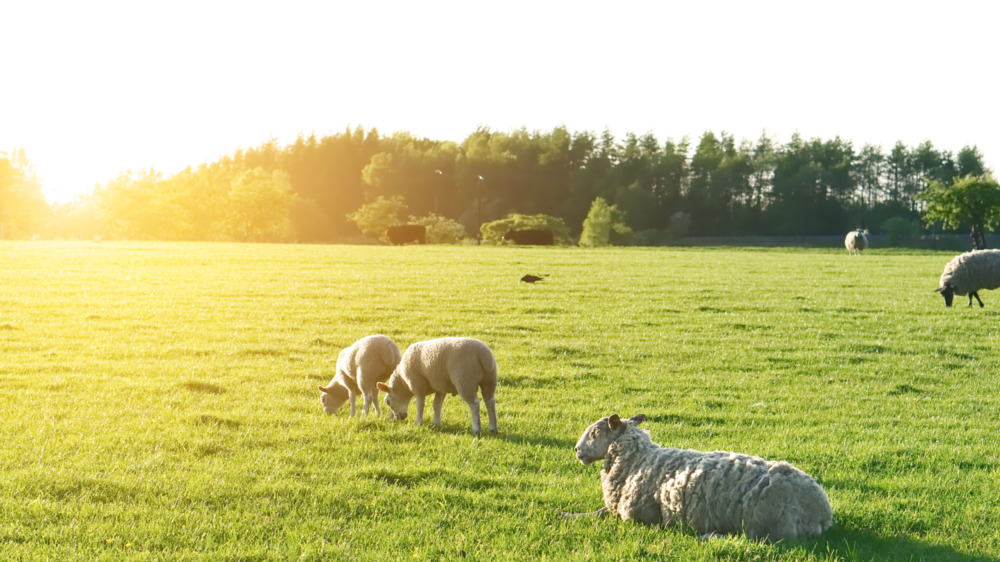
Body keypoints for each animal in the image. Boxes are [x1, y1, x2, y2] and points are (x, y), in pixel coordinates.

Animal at [576, 412, 832, 540]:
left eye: (595, 431)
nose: (577, 450)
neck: (636, 460)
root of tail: (820, 512)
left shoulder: (636, 516)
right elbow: (595, 513)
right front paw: (571, 515)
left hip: (762, 525)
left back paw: (708, 536)